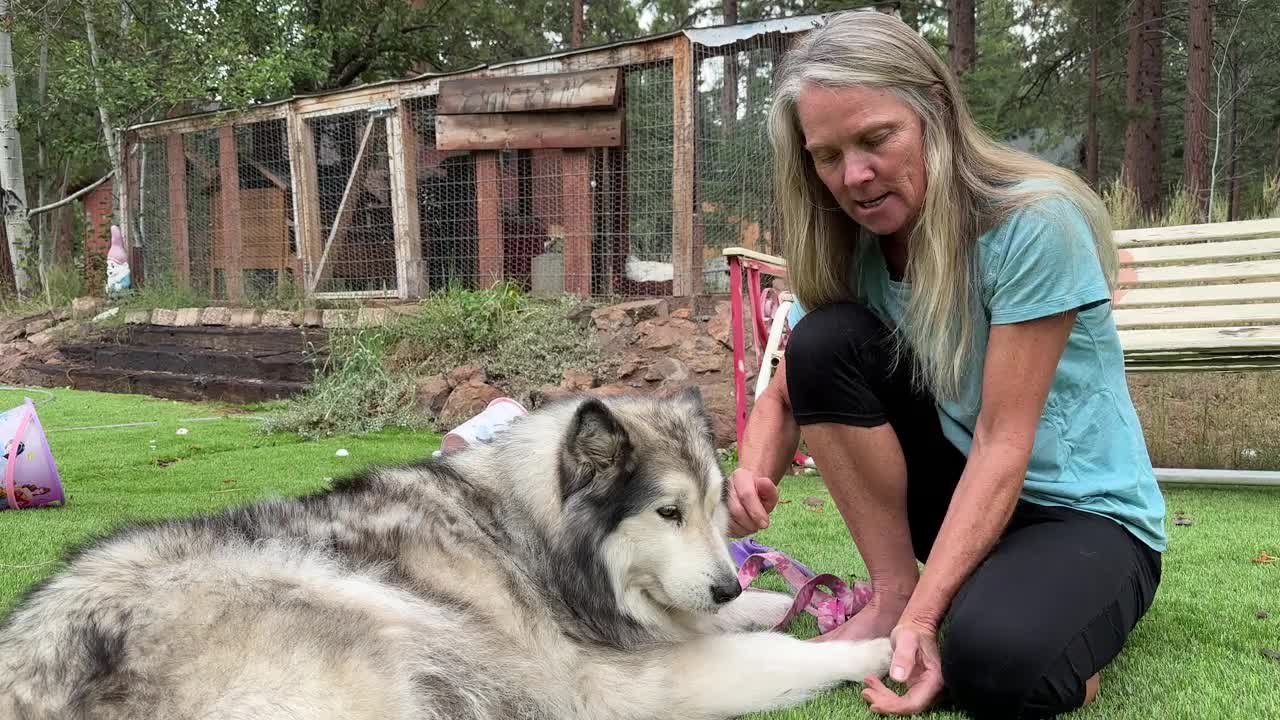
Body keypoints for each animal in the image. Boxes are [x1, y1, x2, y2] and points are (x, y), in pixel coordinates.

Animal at [0, 389, 890, 712]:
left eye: (716, 513)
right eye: (668, 512)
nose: (725, 588)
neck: (525, 534)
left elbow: (752, 617)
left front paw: (787, 599)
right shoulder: (629, 681)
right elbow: (783, 653)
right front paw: (878, 644)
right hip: (376, 612)